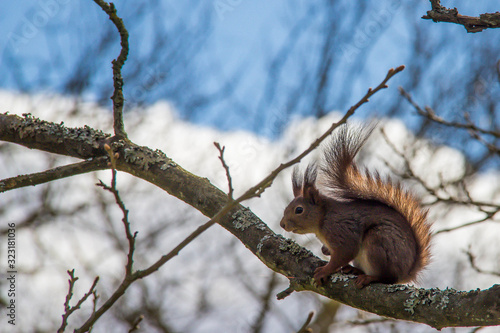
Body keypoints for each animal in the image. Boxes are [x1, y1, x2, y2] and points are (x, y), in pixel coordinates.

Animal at [280, 123, 432, 286]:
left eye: (299, 210)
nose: (282, 224)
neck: (323, 219)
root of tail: (405, 273)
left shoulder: (341, 230)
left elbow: (345, 252)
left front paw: (324, 270)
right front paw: (325, 251)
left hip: (378, 243)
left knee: (387, 277)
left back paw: (369, 277)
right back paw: (354, 270)